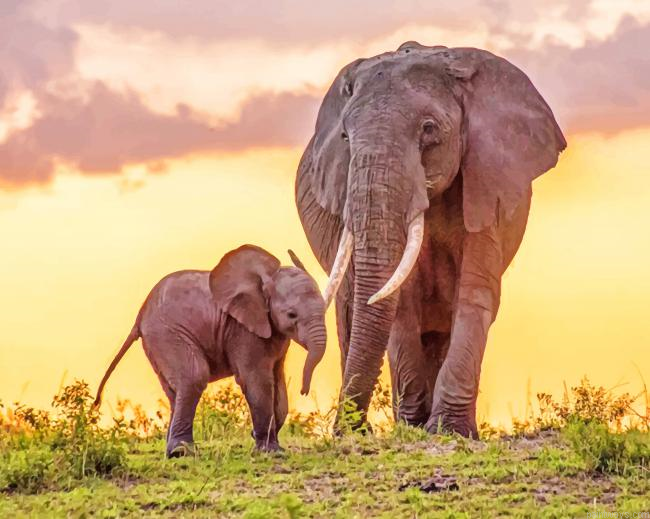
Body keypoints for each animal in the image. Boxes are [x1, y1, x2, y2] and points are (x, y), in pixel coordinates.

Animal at [94, 245, 327, 456]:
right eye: (291, 315)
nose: (304, 391)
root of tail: (139, 317)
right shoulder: (242, 329)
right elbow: (257, 380)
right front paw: (270, 452)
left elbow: (277, 380)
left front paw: (272, 446)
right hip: (166, 334)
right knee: (194, 376)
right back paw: (182, 452)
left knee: (176, 391)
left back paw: (173, 451)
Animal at [295, 41, 566, 437]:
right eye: (345, 137)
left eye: (428, 129)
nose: (348, 430)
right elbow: (400, 299)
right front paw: (412, 427)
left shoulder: (486, 183)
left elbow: (475, 291)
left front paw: (449, 430)